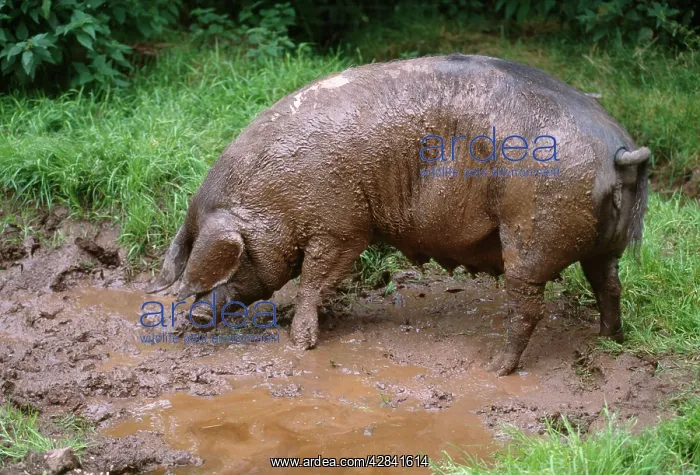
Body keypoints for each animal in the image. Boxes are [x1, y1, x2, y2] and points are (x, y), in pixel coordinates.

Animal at [147, 54, 649, 375]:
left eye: (232, 262)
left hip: (532, 233)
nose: (191, 318)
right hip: (604, 245)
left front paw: (299, 343)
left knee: (527, 306)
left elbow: (314, 279)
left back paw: (495, 368)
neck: (275, 196)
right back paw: (607, 341)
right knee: (610, 285)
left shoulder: (342, 226)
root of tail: (617, 149)